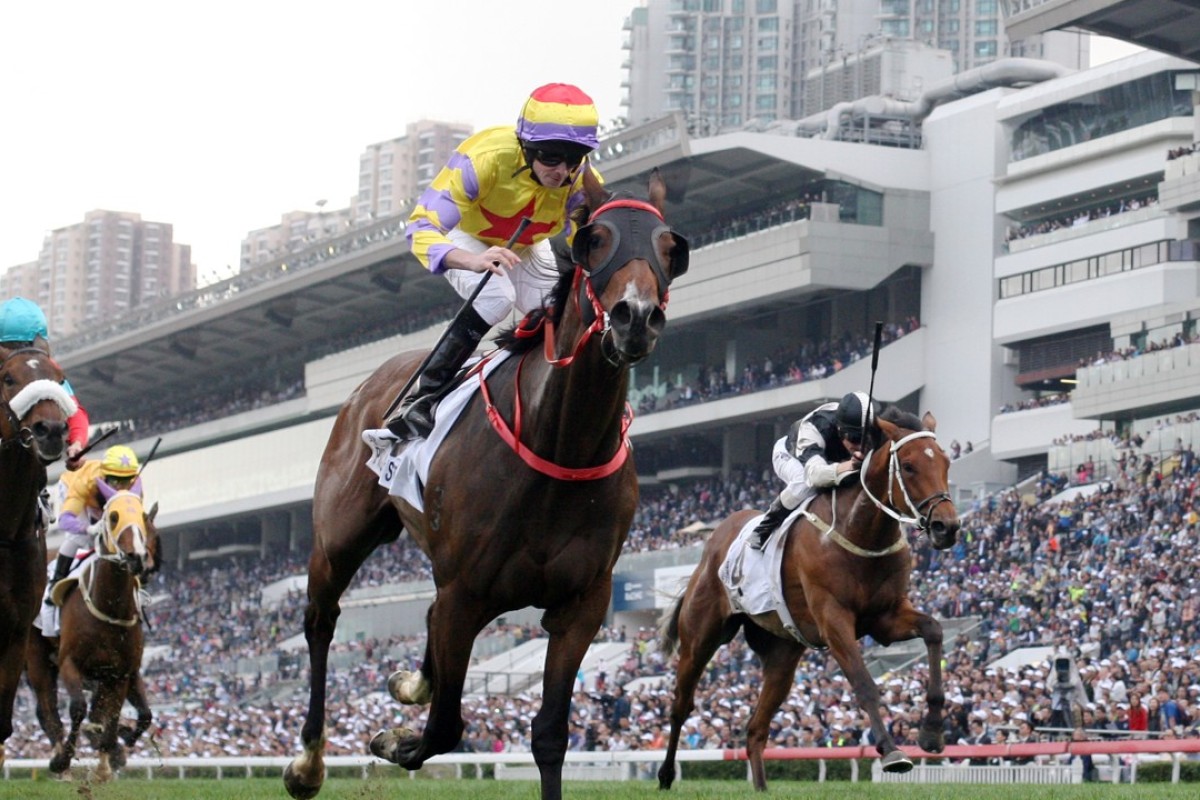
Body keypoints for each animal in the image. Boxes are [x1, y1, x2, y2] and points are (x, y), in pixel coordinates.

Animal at [25, 489, 159, 782]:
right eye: (113, 517)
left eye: (145, 520)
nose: (138, 559)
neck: (109, 607)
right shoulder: (70, 663)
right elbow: (78, 708)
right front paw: (64, 759)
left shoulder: (120, 673)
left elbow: (120, 715)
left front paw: (107, 759)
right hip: (37, 657)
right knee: (47, 705)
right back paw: (58, 756)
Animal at [283, 169, 696, 800]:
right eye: (595, 240)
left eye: (671, 248)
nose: (635, 317)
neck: (561, 445)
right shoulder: (466, 595)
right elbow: (445, 727)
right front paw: (393, 740)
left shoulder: (583, 602)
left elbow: (548, 733)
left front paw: (408, 706)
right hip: (339, 539)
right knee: (321, 622)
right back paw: (308, 762)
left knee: (420, 622)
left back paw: (408, 685)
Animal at [662, 410, 960, 791]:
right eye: (908, 466)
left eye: (946, 462)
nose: (946, 527)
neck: (858, 530)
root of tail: (712, 545)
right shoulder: (833, 620)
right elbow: (863, 682)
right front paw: (892, 751)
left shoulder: (886, 617)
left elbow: (934, 631)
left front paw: (932, 733)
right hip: (700, 637)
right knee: (681, 704)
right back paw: (665, 775)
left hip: (782, 654)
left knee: (755, 728)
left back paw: (761, 789)